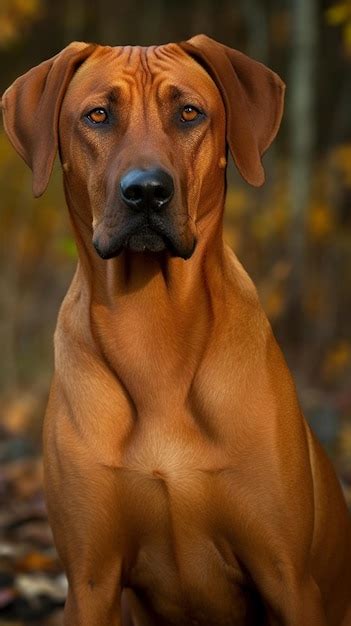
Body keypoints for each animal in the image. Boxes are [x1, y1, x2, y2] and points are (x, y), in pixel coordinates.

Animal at [2, 35, 351, 624]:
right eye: (98, 116)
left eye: (189, 113)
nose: (146, 192)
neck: (153, 328)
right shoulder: (91, 580)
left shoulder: (288, 576)